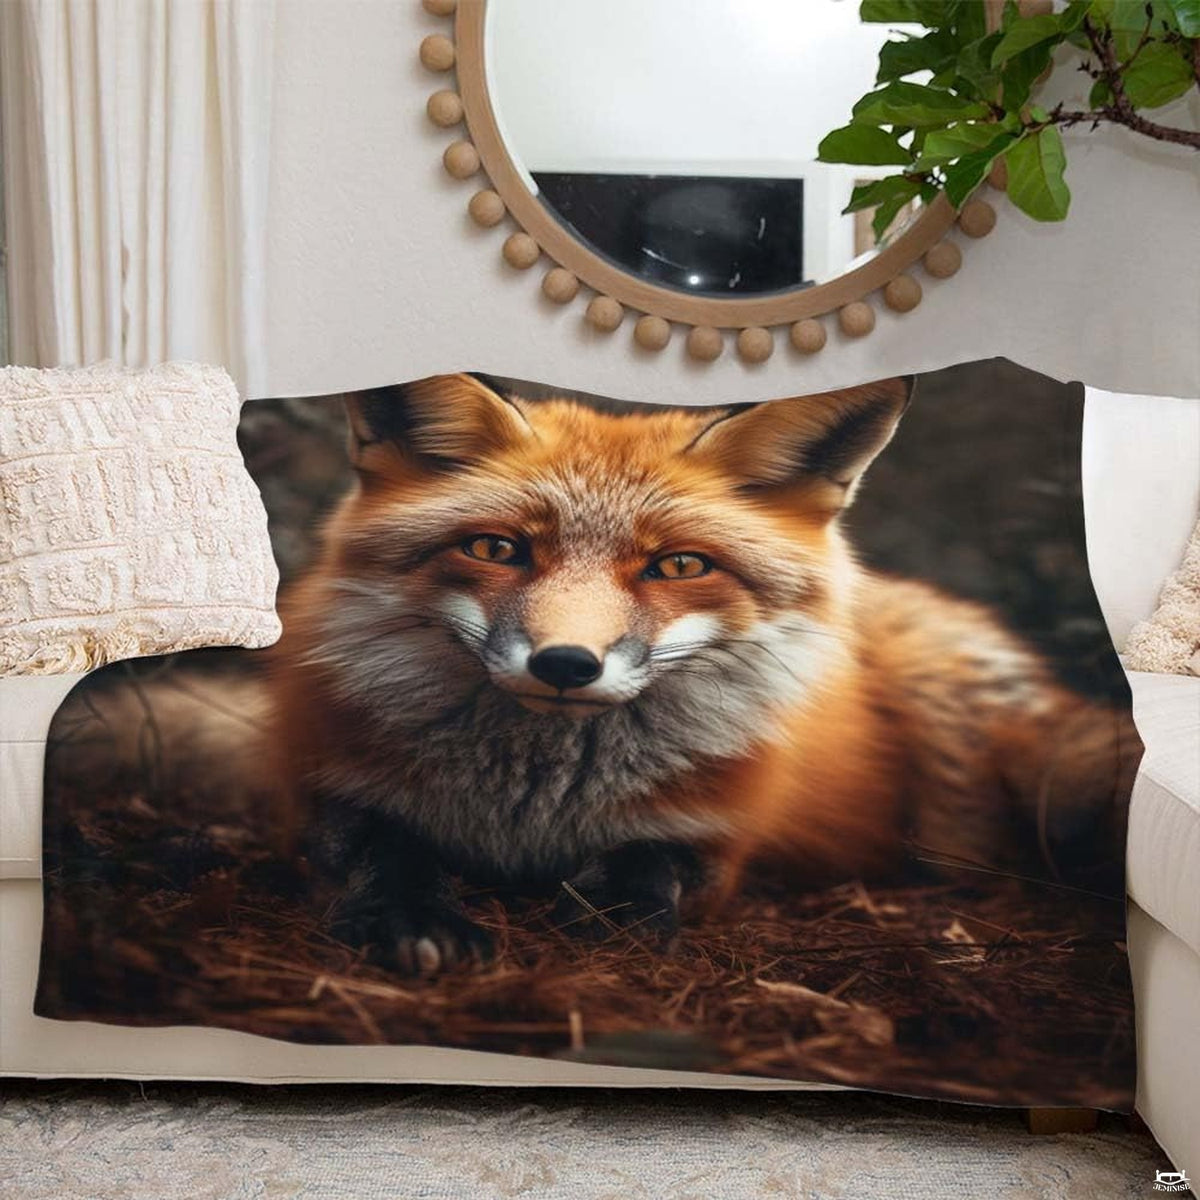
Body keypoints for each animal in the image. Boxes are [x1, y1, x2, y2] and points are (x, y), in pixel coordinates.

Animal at [266, 372, 1140, 975]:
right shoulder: (331, 788)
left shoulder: (713, 834)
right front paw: (413, 918)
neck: (530, 809)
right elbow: (386, 853)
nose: (566, 664)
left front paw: (615, 919)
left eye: (680, 566)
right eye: (495, 549)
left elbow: (651, 867)